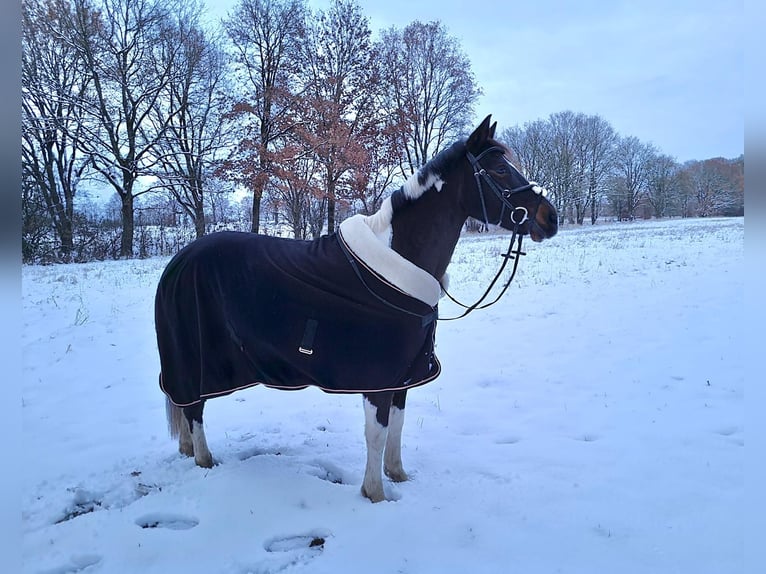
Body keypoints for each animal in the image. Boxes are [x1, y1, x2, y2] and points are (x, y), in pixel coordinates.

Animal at [156, 116, 560, 504]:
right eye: (500, 170)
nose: (550, 218)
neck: (398, 263)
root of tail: (178, 261)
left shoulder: (405, 373)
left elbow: (397, 425)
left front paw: (398, 477)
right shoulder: (378, 377)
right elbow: (376, 434)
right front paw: (375, 494)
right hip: (196, 363)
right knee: (194, 410)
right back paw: (205, 461)